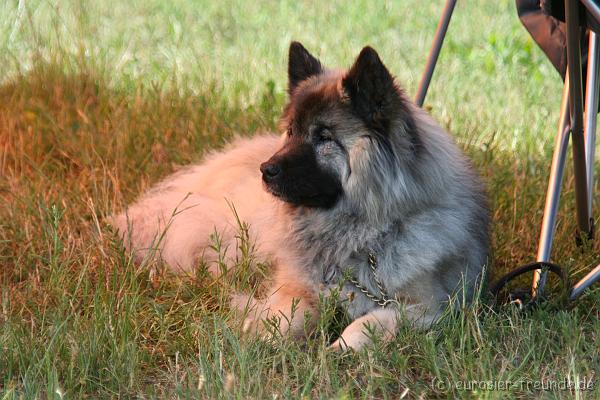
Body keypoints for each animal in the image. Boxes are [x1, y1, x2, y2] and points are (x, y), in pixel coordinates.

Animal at [110, 41, 490, 350]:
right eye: (291, 132)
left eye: (323, 137)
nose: (266, 169)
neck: (358, 236)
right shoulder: (296, 288)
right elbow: (292, 315)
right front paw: (264, 334)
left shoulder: (430, 306)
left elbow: (373, 321)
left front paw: (343, 346)